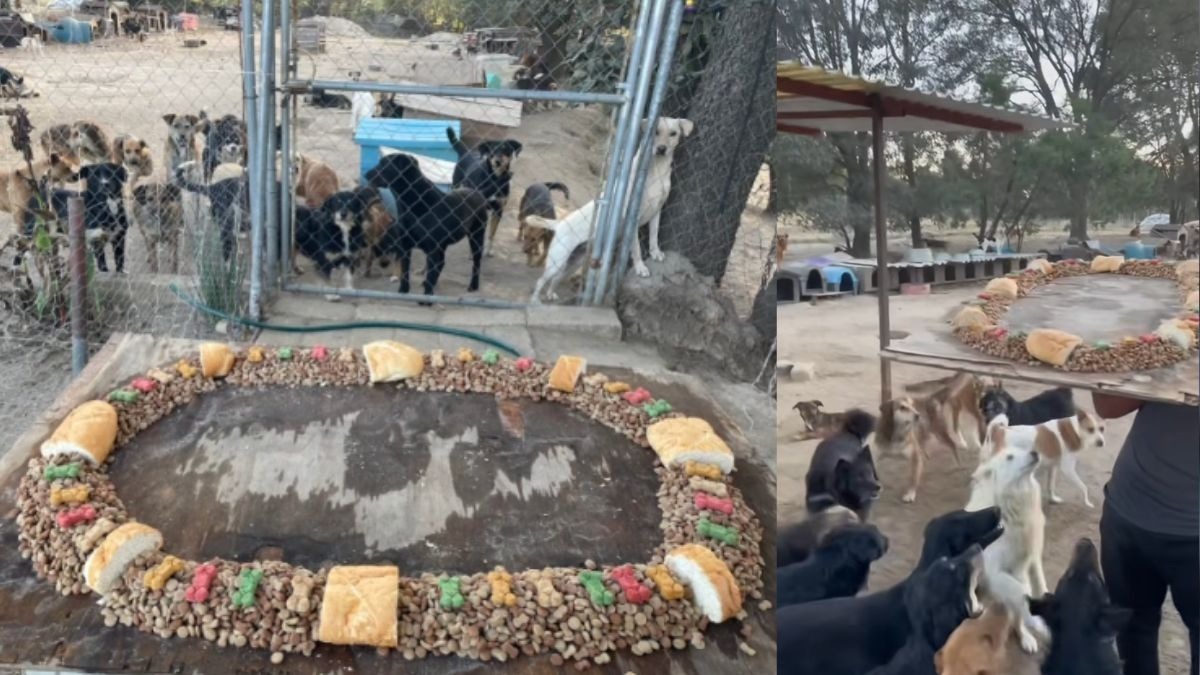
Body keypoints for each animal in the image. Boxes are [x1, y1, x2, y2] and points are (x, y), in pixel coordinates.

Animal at [362, 153, 489, 300]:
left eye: (384, 164)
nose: (366, 174)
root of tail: (477, 192)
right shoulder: (406, 246)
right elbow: (405, 272)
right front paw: (403, 291)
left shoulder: (432, 248)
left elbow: (431, 273)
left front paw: (427, 298)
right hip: (443, 244)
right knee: (441, 263)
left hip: (476, 236)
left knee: (476, 262)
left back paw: (473, 285)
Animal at [525, 117, 696, 302]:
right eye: (656, 132)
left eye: (673, 133)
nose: (661, 148)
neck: (657, 170)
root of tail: (560, 223)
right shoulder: (632, 219)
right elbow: (636, 248)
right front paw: (640, 267)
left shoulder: (657, 211)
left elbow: (654, 235)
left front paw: (655, 252)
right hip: (557, 260)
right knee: (541, 280)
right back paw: (534, 300)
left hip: (572, 262)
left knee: (556, 278)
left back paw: (550, 294)